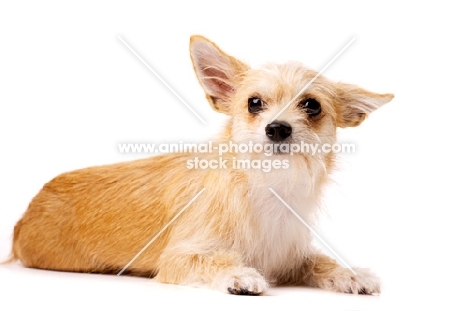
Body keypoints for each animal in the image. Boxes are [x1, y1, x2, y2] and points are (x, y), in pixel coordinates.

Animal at [8, 35, 394, 296]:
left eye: (312, 106)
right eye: (254, 103)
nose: (277, 128)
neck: (268, 185)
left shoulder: (291, 257)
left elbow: (320, 260)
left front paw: (352, 273)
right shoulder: (178, 258)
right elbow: (215, 260)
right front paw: (240, 275)